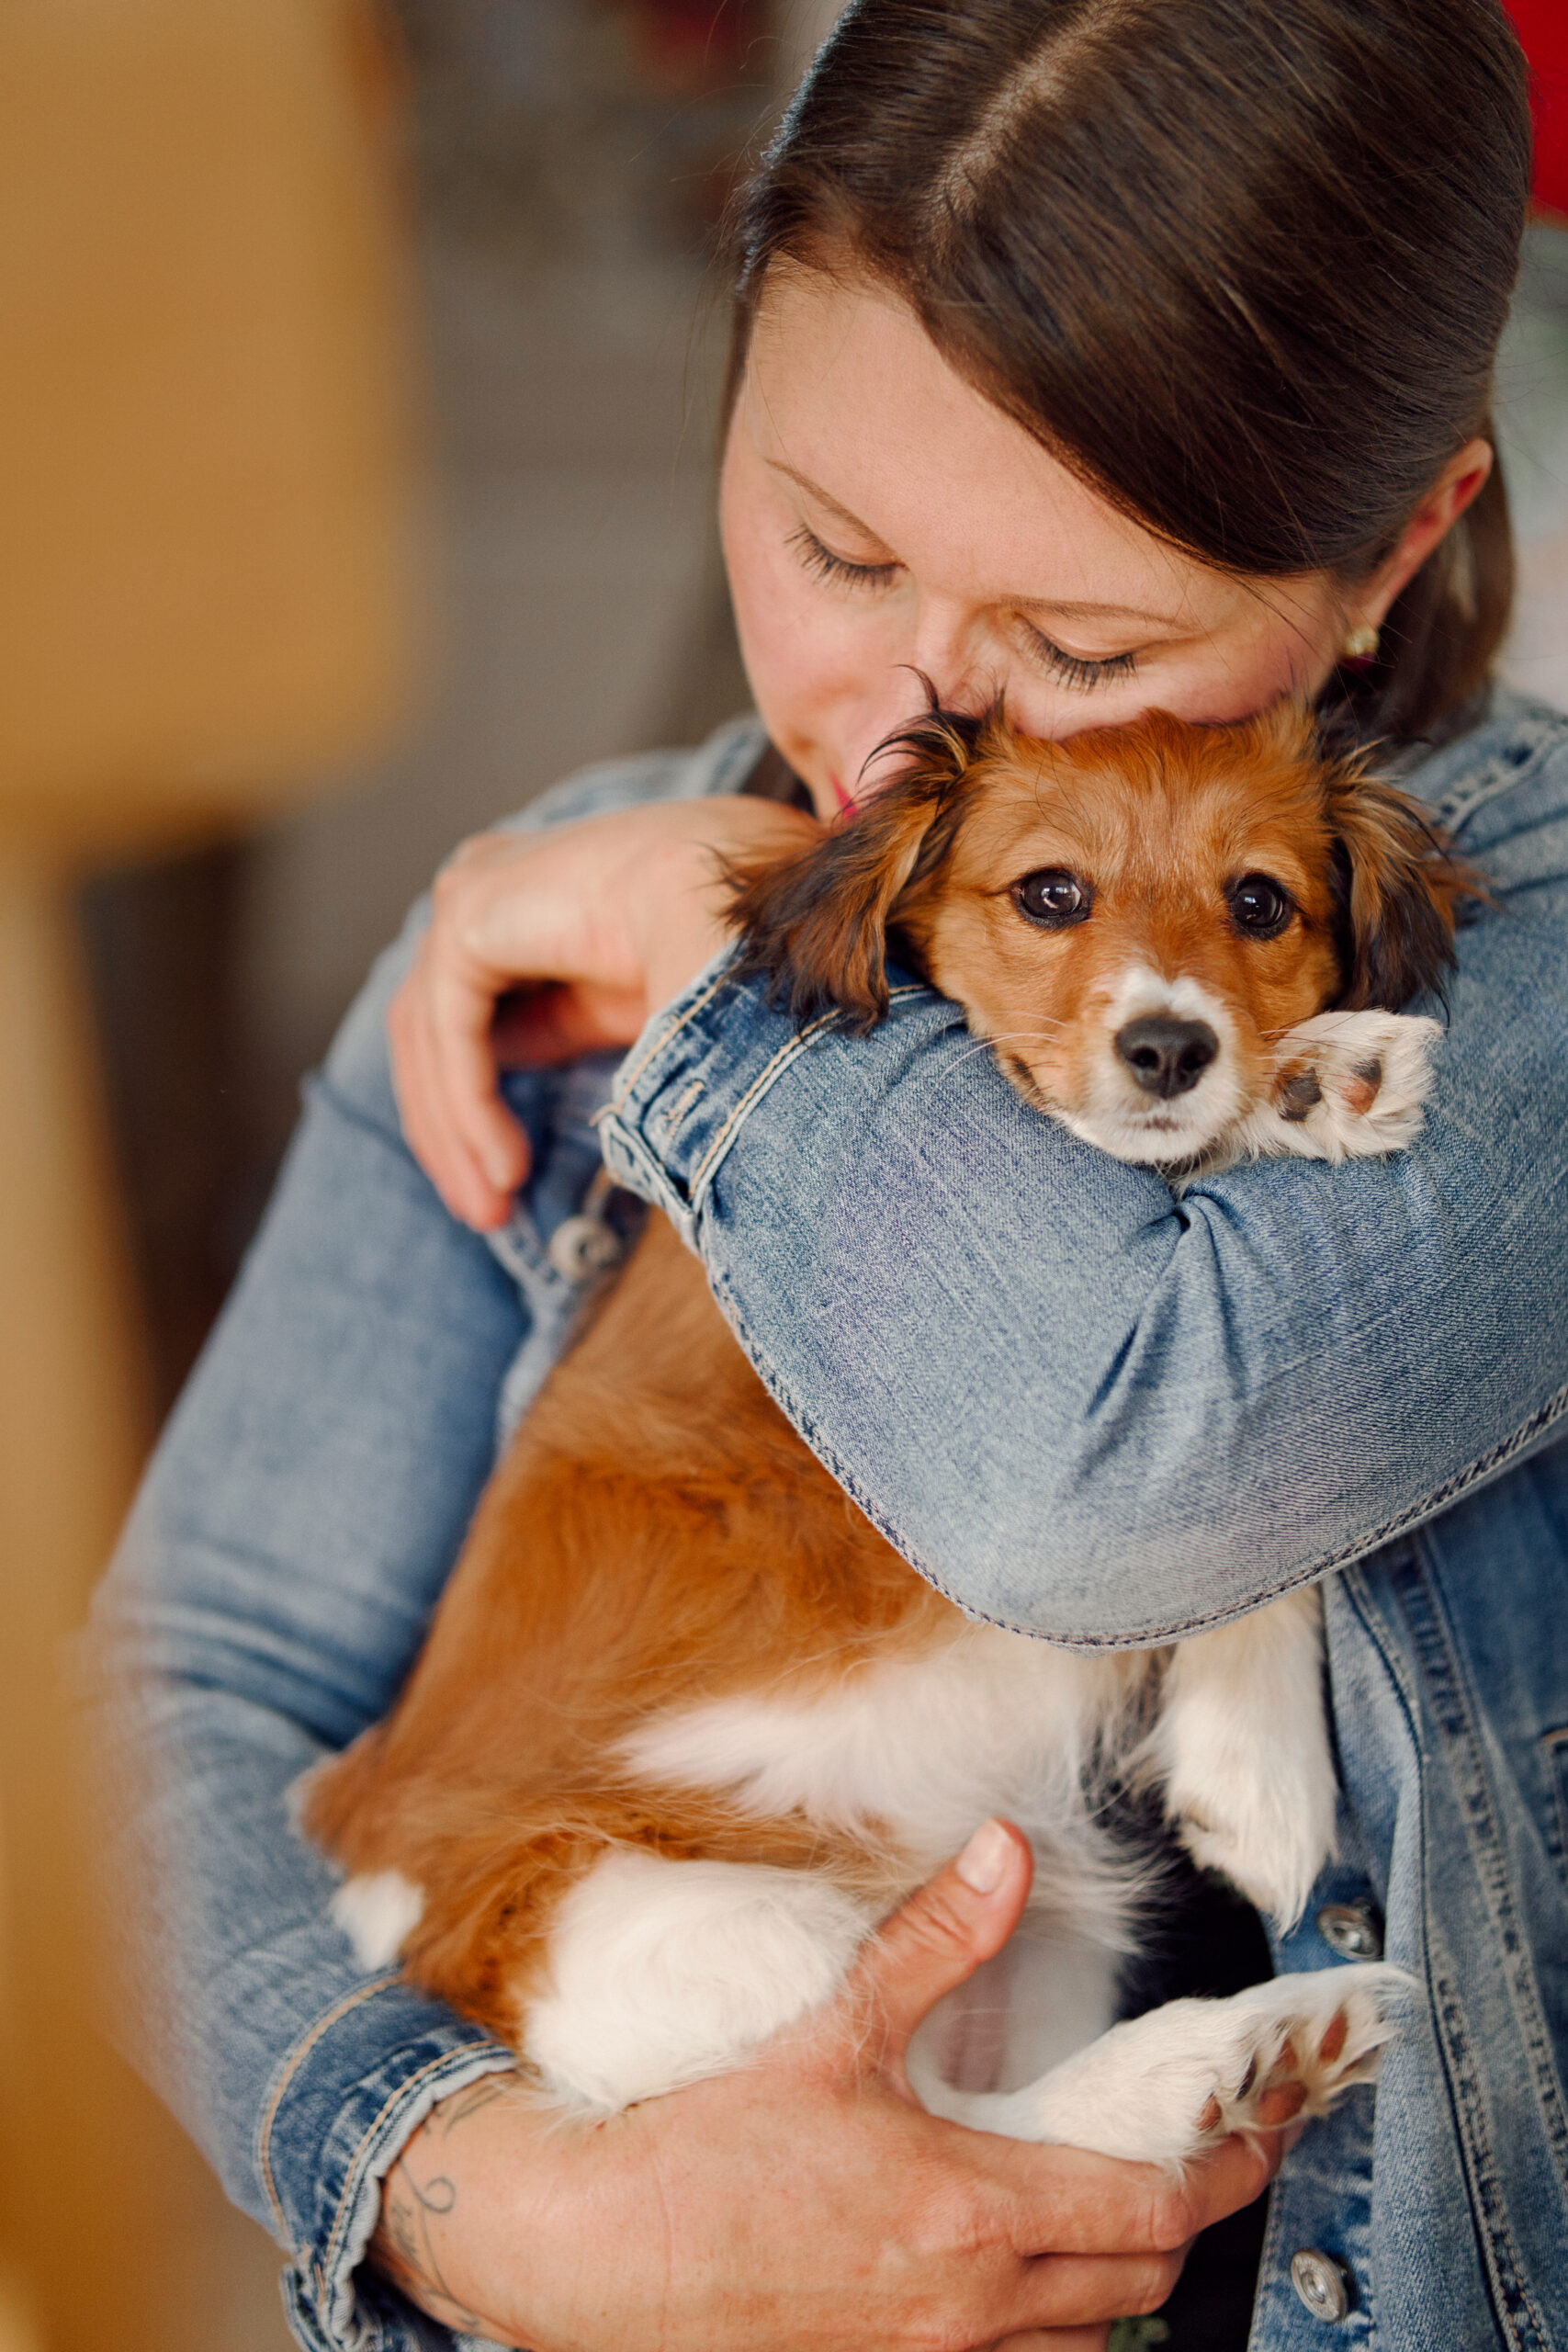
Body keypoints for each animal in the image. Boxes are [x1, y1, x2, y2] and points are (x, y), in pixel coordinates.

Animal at [305, 695, 1476, 2164]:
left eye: (1259, 902)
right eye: (1050, 894)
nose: (1169, 1048)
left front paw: (1312, 1074)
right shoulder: (934, 1448)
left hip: (1041, 1940)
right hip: (708, 1936)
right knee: (925, 2118)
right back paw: (1209, 2063)